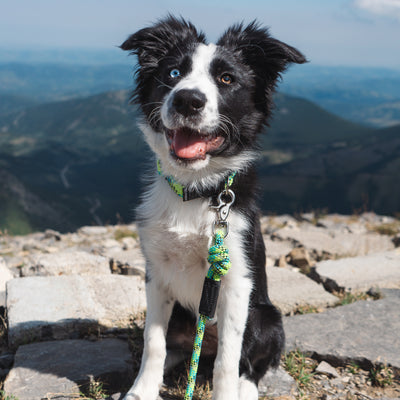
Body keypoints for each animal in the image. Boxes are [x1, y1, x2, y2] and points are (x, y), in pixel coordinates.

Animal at [120, 15, 304, 400]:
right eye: (174, 73)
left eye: (227, 79)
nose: (187, 100)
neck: (196, 191)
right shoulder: (156, 274)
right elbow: (153, 343)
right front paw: (141, 390)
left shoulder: (235, 282)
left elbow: (228, 362)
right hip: (184, 318)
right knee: (177, 349)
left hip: (267, 317)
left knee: (248, 363)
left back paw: (245, 388)